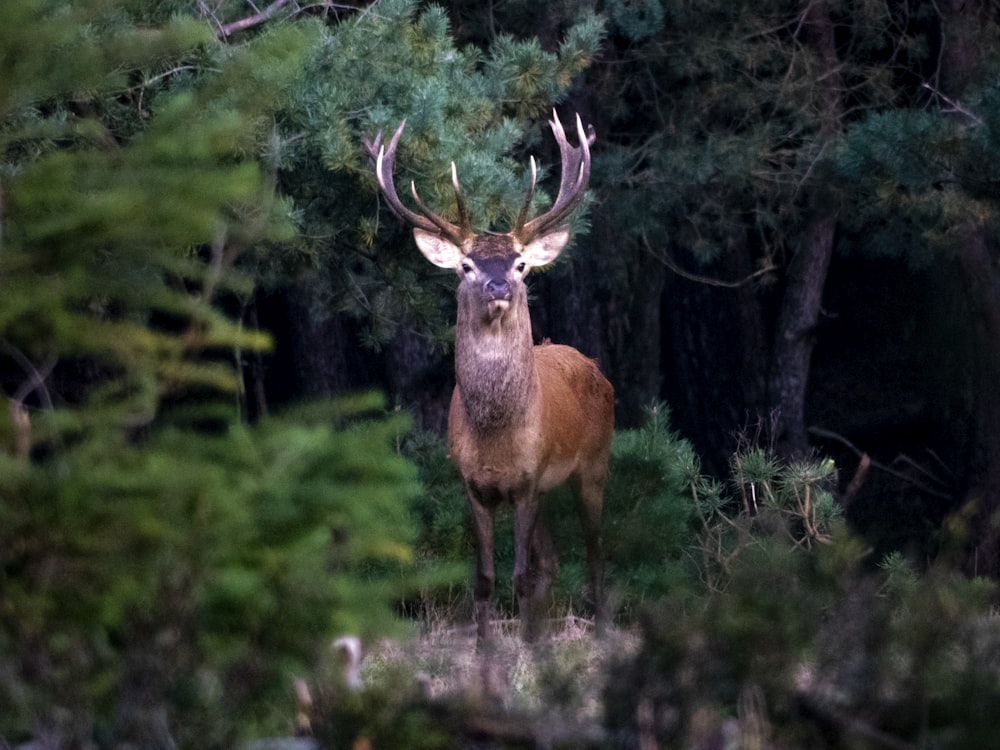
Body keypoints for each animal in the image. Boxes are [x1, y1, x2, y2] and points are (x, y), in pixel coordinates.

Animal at [368, 111, 612, 648]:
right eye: (466, 264)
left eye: (520, 263)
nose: (498, 286)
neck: (498, 437)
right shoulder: (475, 484)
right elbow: (484, 576)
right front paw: (486, 648)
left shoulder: (528, 480)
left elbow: (519, 574)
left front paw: (521, 646)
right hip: (550, 488)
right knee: (551, 560)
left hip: (594, 463)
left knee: (594, 549)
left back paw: (601, 629)